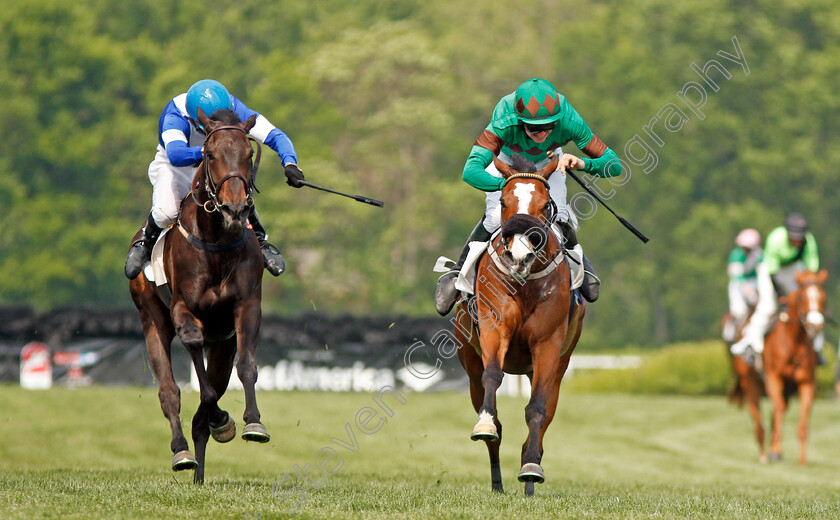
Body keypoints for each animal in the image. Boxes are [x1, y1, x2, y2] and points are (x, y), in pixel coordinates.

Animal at [128, 108, 270, 484]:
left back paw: (201, 473)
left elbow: (246, 366)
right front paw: (221, 419)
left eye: (248, 154)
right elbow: (198, 371)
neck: (217, 243)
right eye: (210, 155)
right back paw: (182, 452)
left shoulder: (246, 307)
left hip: (222, 343)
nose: (236, 209)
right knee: (169, 392)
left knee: (206, 404)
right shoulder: (183, 309)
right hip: (151, 317)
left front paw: (252, 422)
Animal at [456, 155, 588, 496]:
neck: (526, 283)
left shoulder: (548, 346)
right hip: (469, 363)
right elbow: (493, 376)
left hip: (557, 366)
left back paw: (530, 475)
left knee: (544, 414)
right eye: (504, 201)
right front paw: (485, 425)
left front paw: (530, 467)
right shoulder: (493, 329)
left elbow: (537, 408)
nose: (519, 256)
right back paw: (498, 483)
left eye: (544, 205)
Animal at [764, 268, 824, 464]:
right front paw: (776, 451)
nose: (815, 325)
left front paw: (802, 460)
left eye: (823, 297)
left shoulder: (807, 383)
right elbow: (778, 409)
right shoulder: (773, 377)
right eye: (802, 298)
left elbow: (803, 423)